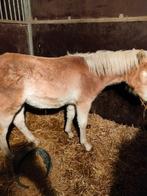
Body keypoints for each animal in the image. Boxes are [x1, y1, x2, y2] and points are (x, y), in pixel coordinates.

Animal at [0, 49, 147, 157]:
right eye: (145, 75)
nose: (146, 100)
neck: (92, 74)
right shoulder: (84, 102)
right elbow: (82, 123)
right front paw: (86, 144)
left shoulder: (71, 102)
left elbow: (70, 115)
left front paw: (69, 133)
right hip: (8, 107)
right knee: (3, 131)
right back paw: (9, 156)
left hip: (19, 104)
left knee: (19, 121)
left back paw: (34, 140)